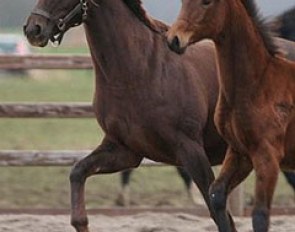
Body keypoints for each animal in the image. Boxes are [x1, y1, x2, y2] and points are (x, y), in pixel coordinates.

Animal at [24, 0, 229, 231]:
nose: (33, 29)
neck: (141, 71)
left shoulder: (190, 149)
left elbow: (220, 214)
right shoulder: (125, 150)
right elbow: (77, 172)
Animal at [168, 0, 295, 232]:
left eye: (206, 2)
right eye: (182, 2)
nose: (174, 39)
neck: (257, 84)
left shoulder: (267, 156)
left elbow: (260, 215)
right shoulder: (240, 152)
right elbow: (216, 196)